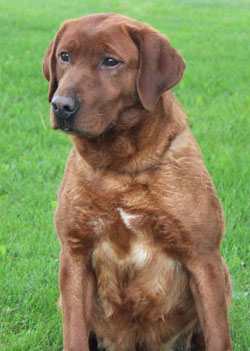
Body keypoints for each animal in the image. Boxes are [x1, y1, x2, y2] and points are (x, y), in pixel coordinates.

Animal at [42, 13, 232, 351]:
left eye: (110, 61)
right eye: (65, 56)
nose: (61, 106)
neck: (121, 168)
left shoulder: (203, 257)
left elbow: (218, 337)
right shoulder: (74, 255)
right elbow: (73, 335)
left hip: (224, 277)